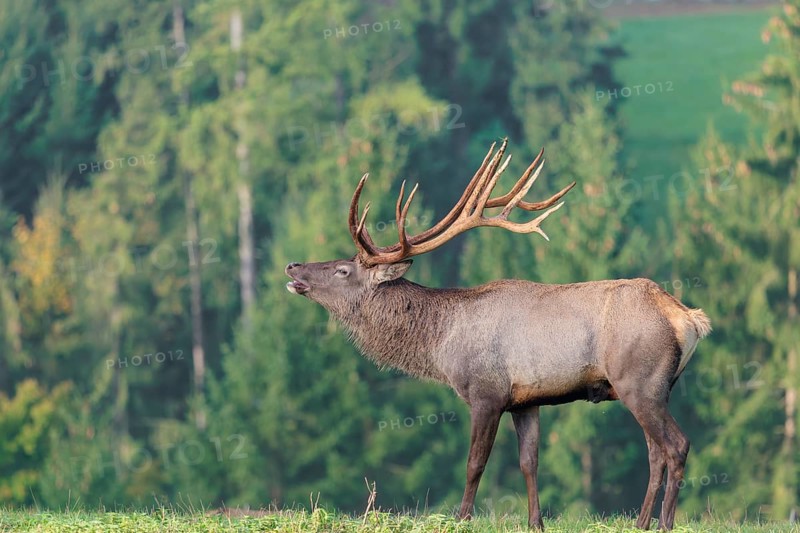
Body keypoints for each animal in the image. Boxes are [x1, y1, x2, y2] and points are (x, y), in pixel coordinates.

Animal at [284, 138, 711, 530]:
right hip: (652, 389)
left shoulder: (486, 391)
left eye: (343, 269)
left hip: (639, 380)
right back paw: (640, 522)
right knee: (655, 452)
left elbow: (475, 462)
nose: (292, 266)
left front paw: (461, 518)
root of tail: (688, 319)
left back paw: (665, 523)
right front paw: (536, 522)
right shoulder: (527, 400)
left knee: (677, 446)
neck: (442, 344)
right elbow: (529, 462)